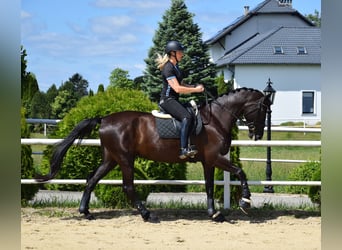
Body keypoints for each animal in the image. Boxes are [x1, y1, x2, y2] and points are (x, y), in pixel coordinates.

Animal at [34, 88, 270, 223]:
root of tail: (104, 119)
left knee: (92, 179)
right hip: (125, 159)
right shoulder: (214, 158)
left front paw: (214, 213)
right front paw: (245, 201)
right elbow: (239, 171)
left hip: (111, 159)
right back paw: (147, 214)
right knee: (128, 186)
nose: (257, 134)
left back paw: (86, 212)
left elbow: (210, 186)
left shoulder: (207, 162)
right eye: (263, 108)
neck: (215, 120)